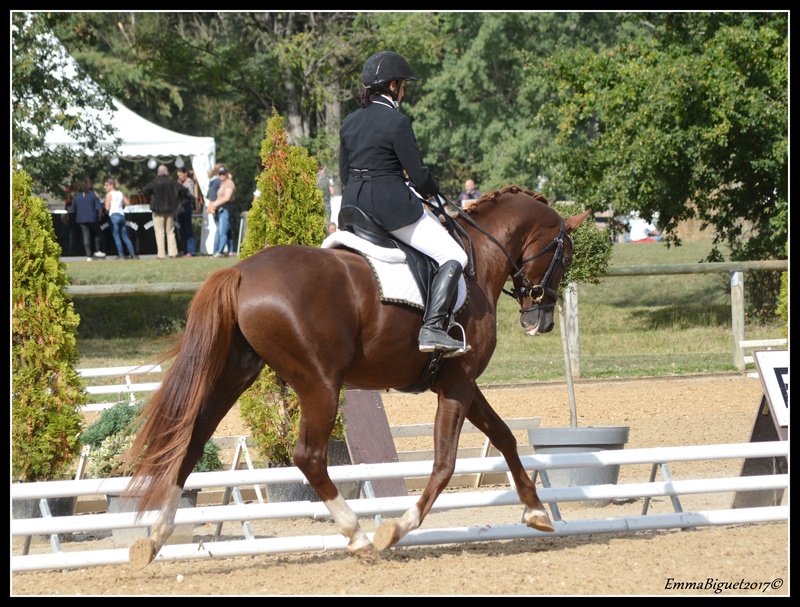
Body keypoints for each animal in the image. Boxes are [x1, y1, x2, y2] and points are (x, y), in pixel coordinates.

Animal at [123, 185, 588, 568]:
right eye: (564, 257)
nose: (540, 321)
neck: (479, 260)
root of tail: (241, 272)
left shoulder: (461, 383)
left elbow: (504, 435)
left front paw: (536, 511)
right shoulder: (459, 382)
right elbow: (445, 464)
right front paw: (396, 528)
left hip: (236, 375)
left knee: (192, 440)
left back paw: (154, 539)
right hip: (320, 383)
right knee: (309, 456)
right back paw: (359, 536)